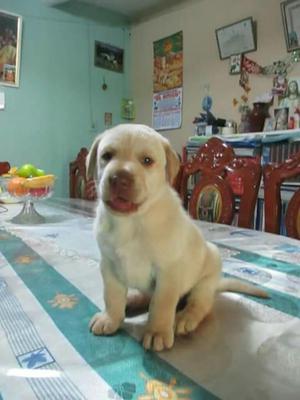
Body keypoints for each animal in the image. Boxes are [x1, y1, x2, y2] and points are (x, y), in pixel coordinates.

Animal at [86, 123, 268, 352]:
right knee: (146, 295)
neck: (131, 221)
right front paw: (110, 318)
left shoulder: (168, 271)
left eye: (147, 161)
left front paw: (157, 331)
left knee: (200, 304)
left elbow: (162, 303)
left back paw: (185, 317)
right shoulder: (109, 265)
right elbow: (112, 296)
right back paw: (133, 299)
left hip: (207, 274)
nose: (120, 178)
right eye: (107, 156)